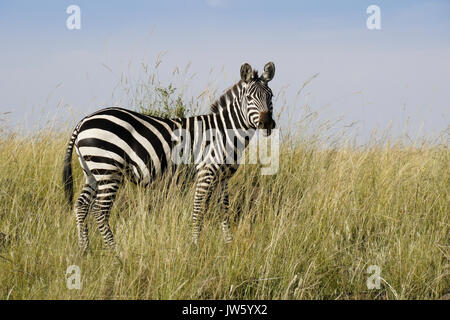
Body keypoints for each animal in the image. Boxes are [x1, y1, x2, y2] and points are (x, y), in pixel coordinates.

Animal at [62, 61, 276, 251]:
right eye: (249, 98)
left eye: (271, 96)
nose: (267, 124)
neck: (226, 132)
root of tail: (84, 120)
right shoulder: (206, 172)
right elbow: (198, 210)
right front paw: (195, 247)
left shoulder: (222, 177)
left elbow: (224, 210)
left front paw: (228, 245)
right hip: (108, 169)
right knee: (100, 211)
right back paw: (115, 254)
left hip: (92, 172)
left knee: (81, 206)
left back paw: (85, 250)